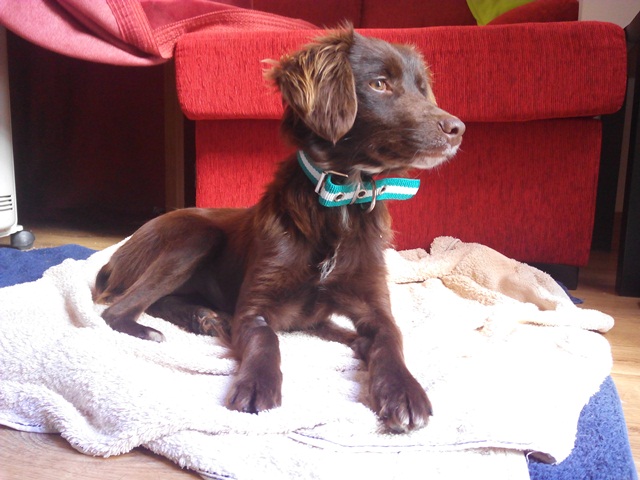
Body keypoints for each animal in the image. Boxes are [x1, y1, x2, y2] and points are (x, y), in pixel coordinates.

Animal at [94, 25, 464, 434]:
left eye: (421, 88)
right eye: (379, 83)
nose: (457, 129)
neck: (339, 202)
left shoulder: (372, 306)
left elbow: (389, 340)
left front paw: (403, 389)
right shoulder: (256, 306)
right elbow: (264, 340)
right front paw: (257, 383)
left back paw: (204, 317)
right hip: (198, 235)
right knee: (116, 310)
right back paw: (162, 327)